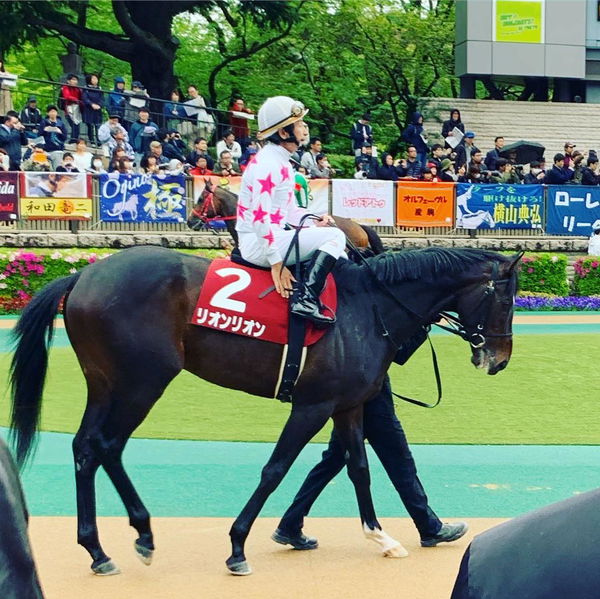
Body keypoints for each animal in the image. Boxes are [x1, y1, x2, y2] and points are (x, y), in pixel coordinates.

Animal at [9, 245, 520, 576]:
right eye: (506, 298)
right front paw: (237, 545)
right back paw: (142, 535)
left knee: (86, 448)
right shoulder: (312, 405)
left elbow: (358, 468)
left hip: (105, 384)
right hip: (142, 382)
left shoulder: (349, 404)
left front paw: (382, 537)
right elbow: (275, 469)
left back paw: (97, 549)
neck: (366, 308)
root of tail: (83, 275)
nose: (498, 359)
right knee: (108, 445)